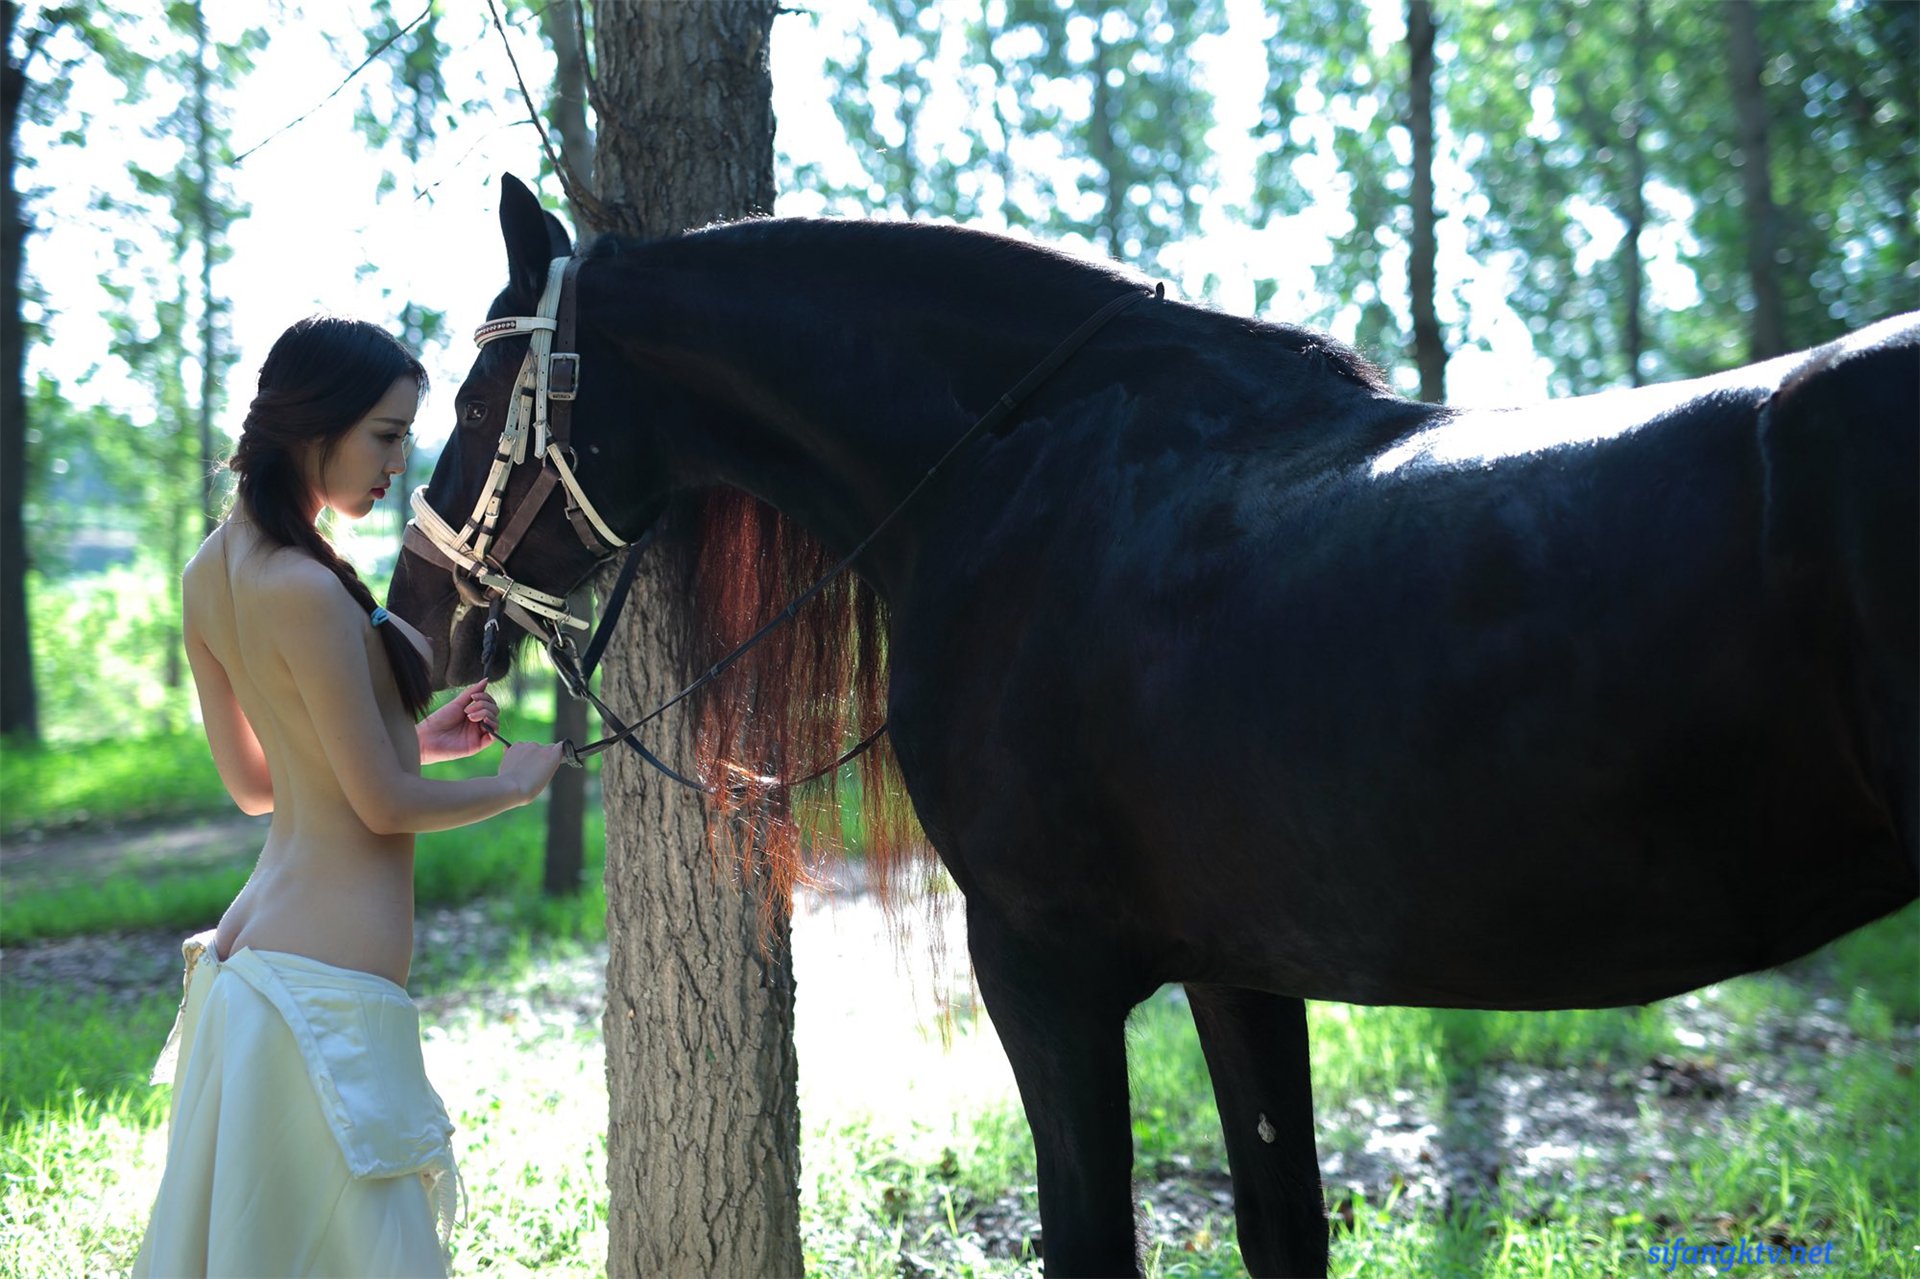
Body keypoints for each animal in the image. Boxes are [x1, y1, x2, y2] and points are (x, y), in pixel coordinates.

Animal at [382, 174, 1912, 1267]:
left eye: (477, 392)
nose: (416, 623)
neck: (1024, 477)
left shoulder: (1045, 972)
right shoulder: (1248, 971)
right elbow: (1279, 1220)